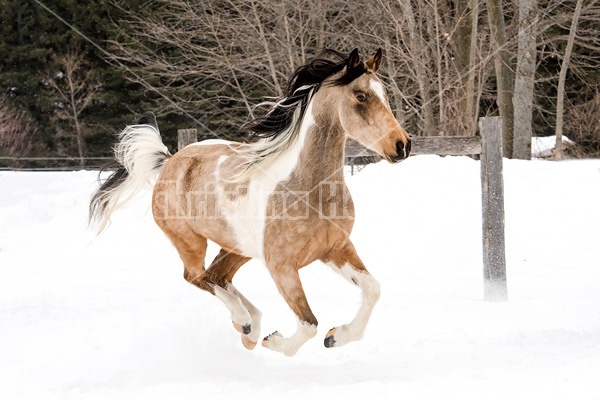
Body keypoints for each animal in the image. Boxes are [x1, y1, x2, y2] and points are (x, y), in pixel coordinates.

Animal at [90, 47, 412, 356]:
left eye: (385, 94)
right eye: (361, 96)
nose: (402, 145)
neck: (309, 191)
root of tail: (169, 161)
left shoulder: (337, 249)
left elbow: (372, 289)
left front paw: (335, 337)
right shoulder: (282, 267)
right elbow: (308, 324)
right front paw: (276, 340)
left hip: (237, 246)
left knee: (216, 276)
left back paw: (249, 326)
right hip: (189, 241)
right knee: (196, 276)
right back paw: (247, 324)